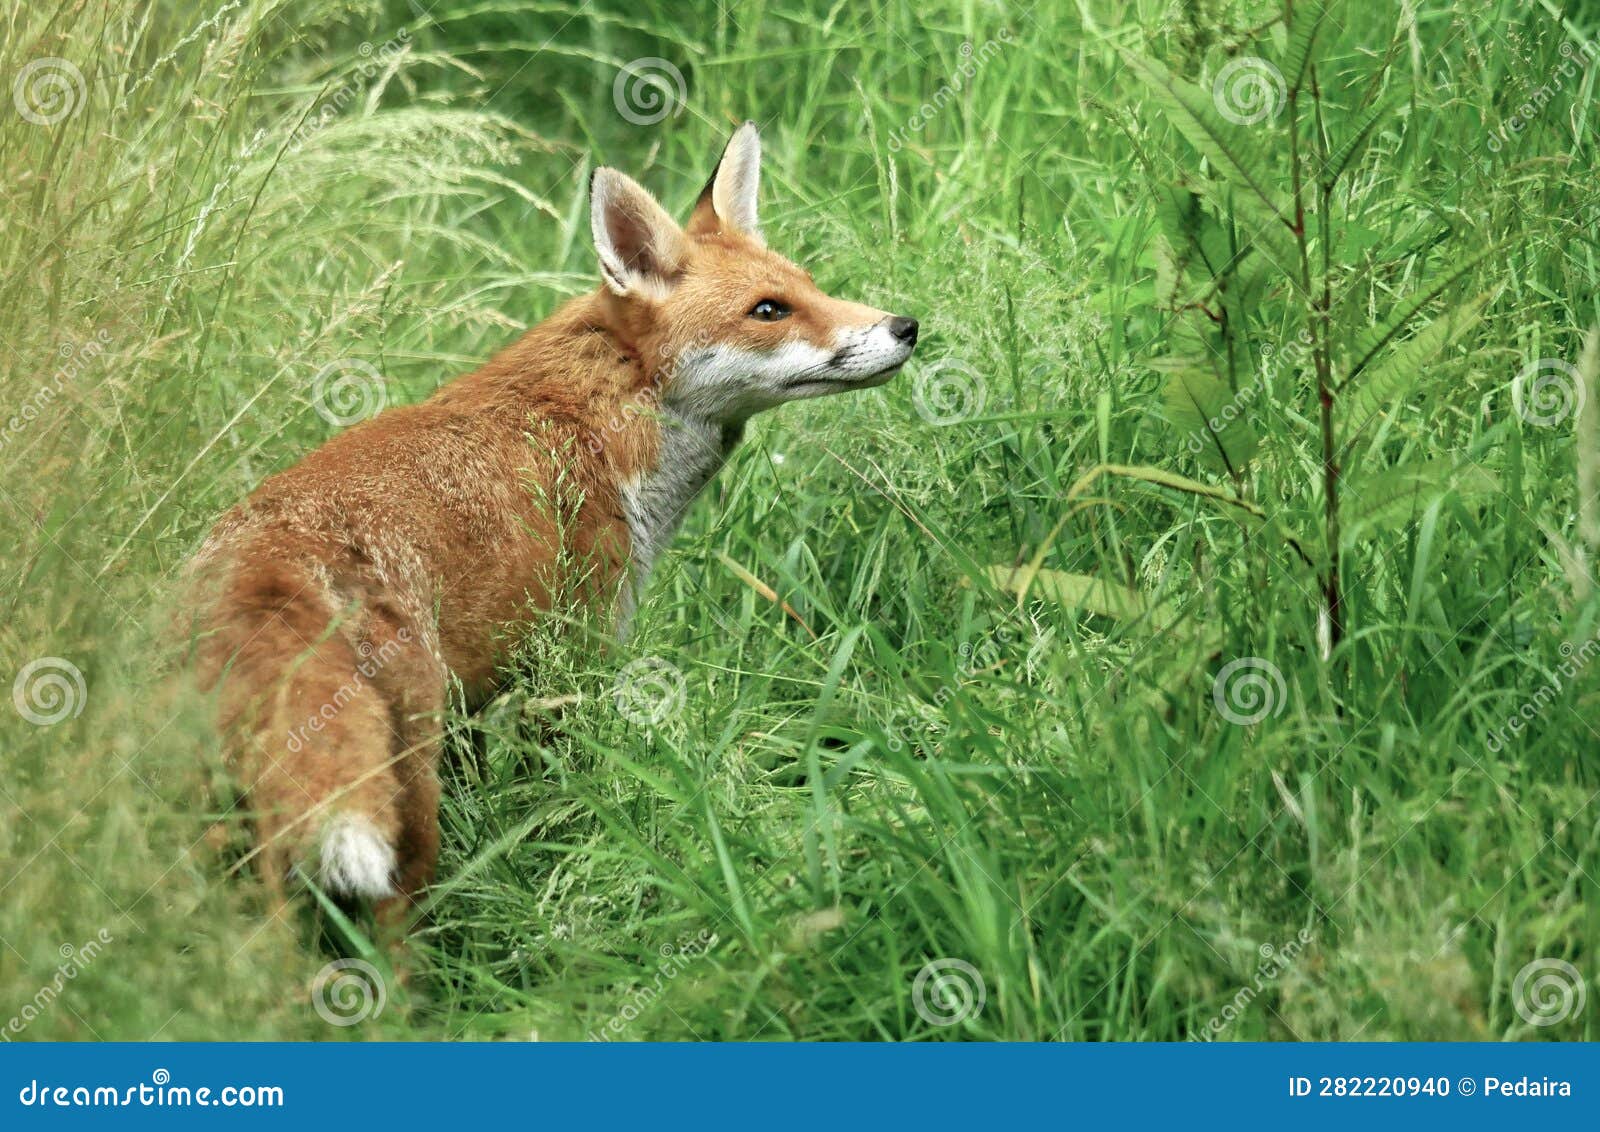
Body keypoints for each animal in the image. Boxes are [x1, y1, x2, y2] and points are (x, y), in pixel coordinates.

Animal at [189, 122, 918, 925]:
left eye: (811, 284)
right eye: (768, 310)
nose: (906, 327)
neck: (599, 428)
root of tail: (268, 556)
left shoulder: (480, 701)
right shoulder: (574, 655)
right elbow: (572, 787)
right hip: (405, 792)